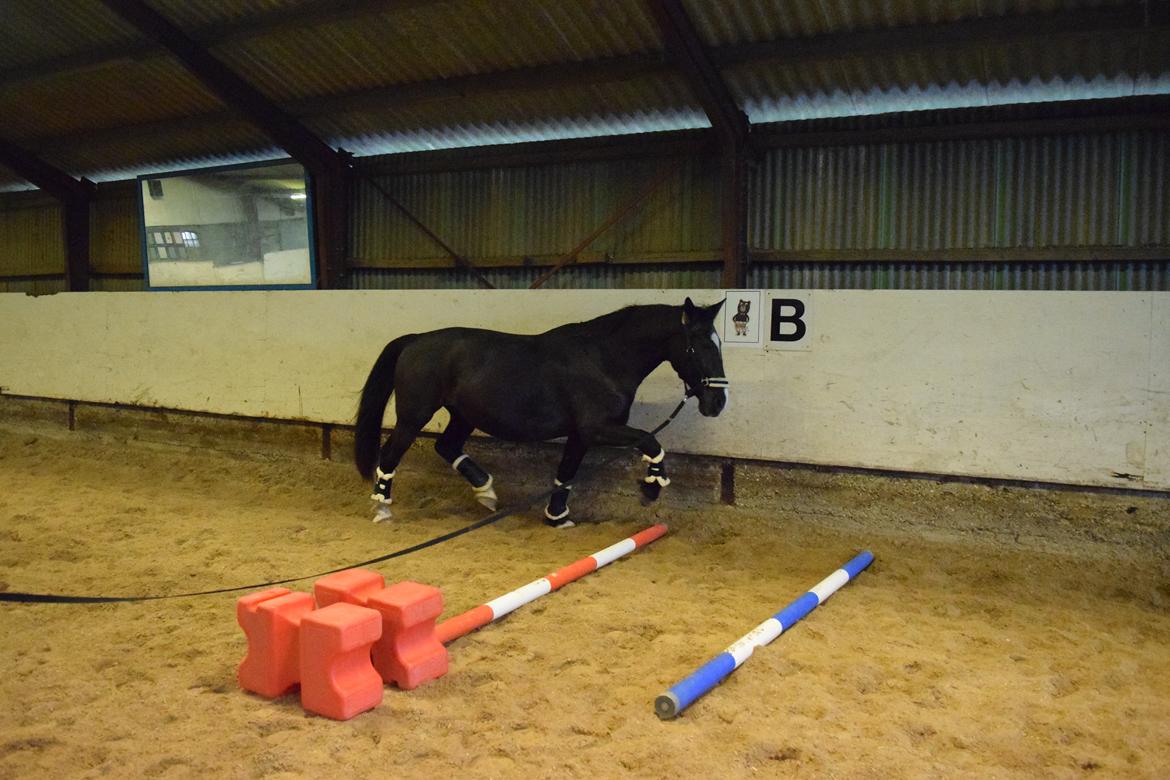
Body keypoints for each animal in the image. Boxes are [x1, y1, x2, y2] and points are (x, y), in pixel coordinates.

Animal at [351, 295, 725, 528]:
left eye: (718, 343)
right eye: (698, 346)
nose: (717, 403)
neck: (603, 359)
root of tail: (416, 339)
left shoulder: (580, 434)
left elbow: (567, 471)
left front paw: (557, 517)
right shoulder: (596, 428)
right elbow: (650, 441)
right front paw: (651, 487)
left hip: (463, 415)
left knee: (446, 446)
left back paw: (486, 492)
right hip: (414, 415)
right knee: (391, 453)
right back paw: (382, 507)